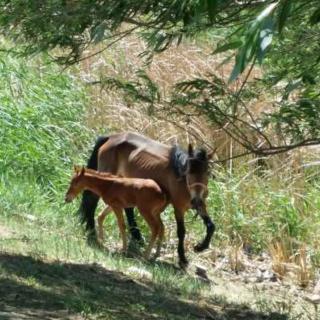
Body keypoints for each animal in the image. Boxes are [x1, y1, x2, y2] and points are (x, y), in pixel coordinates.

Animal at [79, 131, 215, 266]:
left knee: (128, 209)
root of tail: (111, 137)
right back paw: (92, 232)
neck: (180, 178)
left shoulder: (201, 205)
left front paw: (200, 247)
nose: (196, 198)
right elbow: (181, 231)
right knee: (91, 200)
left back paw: (137, 238)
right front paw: (182, 258)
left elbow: (211, 226)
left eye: (206, 172)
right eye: (189, 170)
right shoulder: (178, 207)